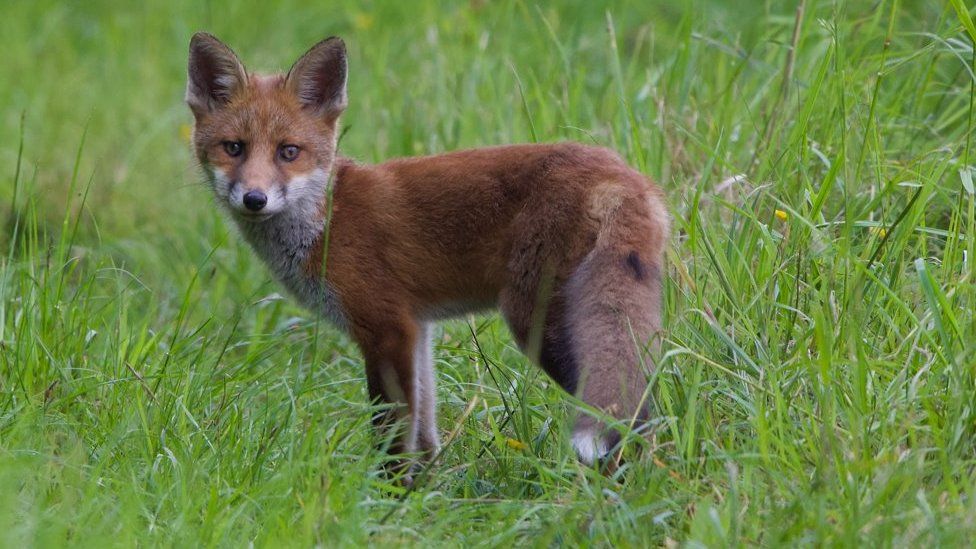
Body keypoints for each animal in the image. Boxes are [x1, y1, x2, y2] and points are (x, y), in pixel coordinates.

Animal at [186, 34, 668, 470]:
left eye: (289, 152)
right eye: (234, 148)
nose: (255, 199)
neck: (325, 221)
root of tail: (621, 173)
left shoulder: (386, 328)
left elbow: (393, 440)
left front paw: (388, 500)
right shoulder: (417, 328)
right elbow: (426, 439)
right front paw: (425, 498)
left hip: (538, 322)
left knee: (633, 422)